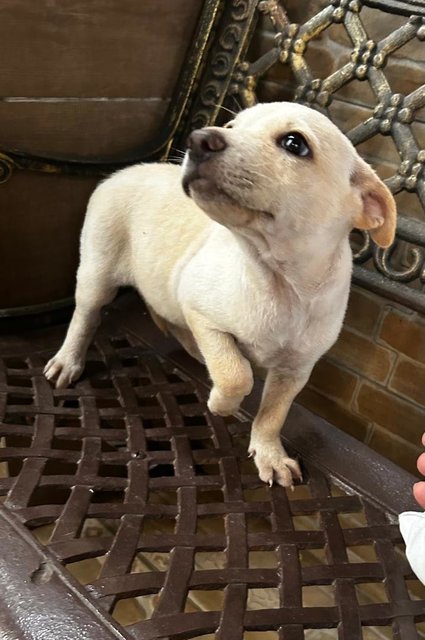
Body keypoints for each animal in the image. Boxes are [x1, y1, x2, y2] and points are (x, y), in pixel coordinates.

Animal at [44, 102, 396, 488]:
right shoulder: (201, 311)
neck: (279, 282)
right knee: (85, 316)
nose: (198, 139)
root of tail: (125, 171)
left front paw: (270, 454)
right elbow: (236, 374)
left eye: (295, 144)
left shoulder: (295, 370)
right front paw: (222, 404)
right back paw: (68, 361)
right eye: (231, 125)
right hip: (97, 272)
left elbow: (273, 413)